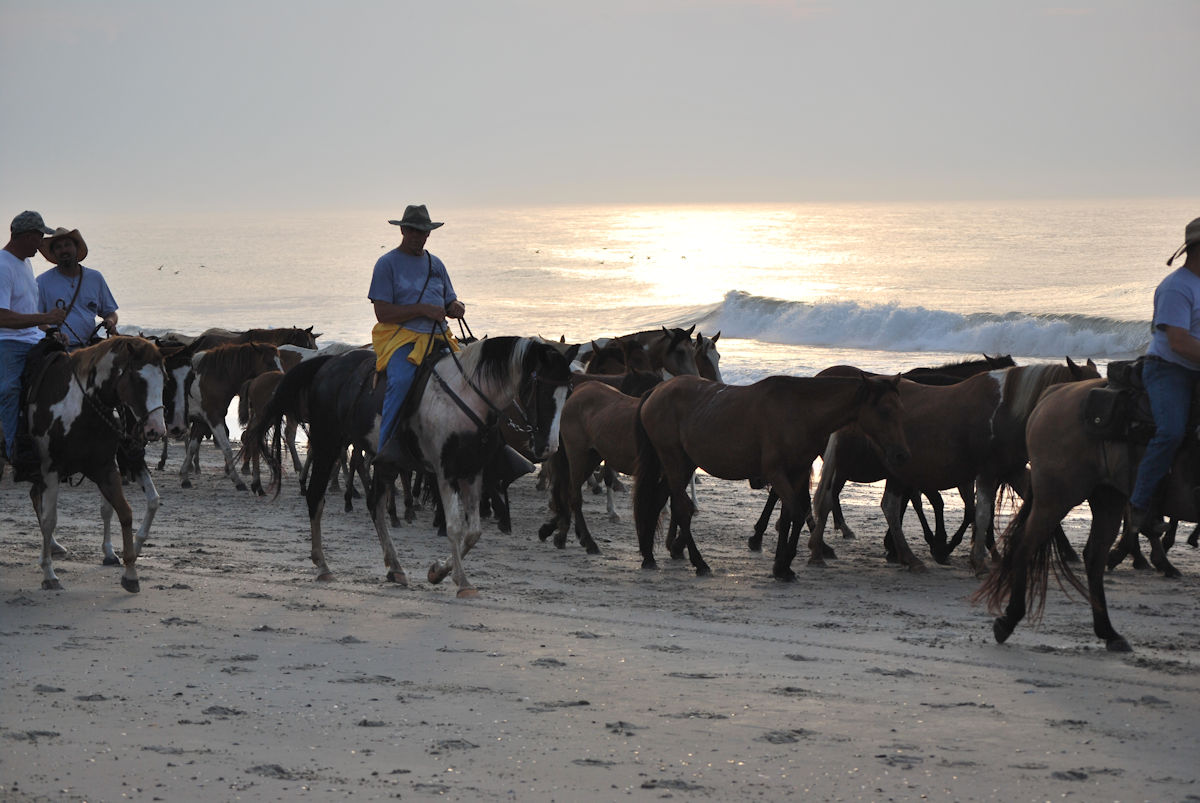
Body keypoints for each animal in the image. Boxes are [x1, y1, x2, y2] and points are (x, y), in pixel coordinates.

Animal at [22, 336, 166, 592]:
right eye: (138, 379)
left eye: (165, 379)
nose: (156, 430)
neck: (80, 405)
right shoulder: (50, 470)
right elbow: (50, 519)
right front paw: (49, 574)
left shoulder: (106, 467)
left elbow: (125, 510)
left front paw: (130, 570)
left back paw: (55, 546)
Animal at [248, 336, 571, 595]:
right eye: (540, 389)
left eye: (567, 392)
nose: (548, 447)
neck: (466, 396)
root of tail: (330, 362)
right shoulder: (444, 472)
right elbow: (455, 527)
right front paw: (462, 582)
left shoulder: (472, 472)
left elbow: (473, 532)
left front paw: (439, 571)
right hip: (328, 443)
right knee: (316, 496)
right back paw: (323, 565)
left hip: (383, 459)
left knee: (375, 505)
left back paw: (395, 567)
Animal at [633, 372, 902, 578]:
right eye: (884, 411)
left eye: (898, 409)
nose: (898, 452)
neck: (800, 411)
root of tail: (657, 389)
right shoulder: (776, 472)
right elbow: (795, 513)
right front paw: (783, 564)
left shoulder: (796, 473)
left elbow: (792, 516)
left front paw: (782, 564)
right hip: (674, 460)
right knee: (681, 509)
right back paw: (699, 563)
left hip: (684, 463)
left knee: (659, 500)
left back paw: (649, 555)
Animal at [974, 376, 1200, 652]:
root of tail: (1054, 393)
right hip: (1056, 498)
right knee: (1025, 546)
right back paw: (1009, 619)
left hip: (1107, 499)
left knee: (1094, 558)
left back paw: (1109, 632)